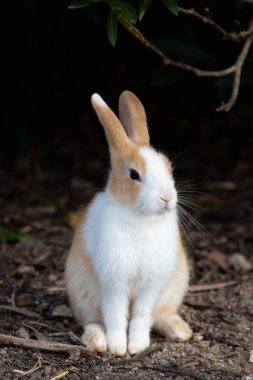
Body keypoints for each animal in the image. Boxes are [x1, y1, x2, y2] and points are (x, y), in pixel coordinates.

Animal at [64, 90, 192, 354]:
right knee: (92, 321)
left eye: (169, 167)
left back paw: (180, 331)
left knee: (160, 317)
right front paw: (118, 347)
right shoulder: (114, 282)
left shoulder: (150, 285)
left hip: (173, 291)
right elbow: (115, 316)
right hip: (81, 296)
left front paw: (137, 345)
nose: (167, 197)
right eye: (134, 175)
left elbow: (141, 316)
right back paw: (98, 341)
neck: (141, 216)